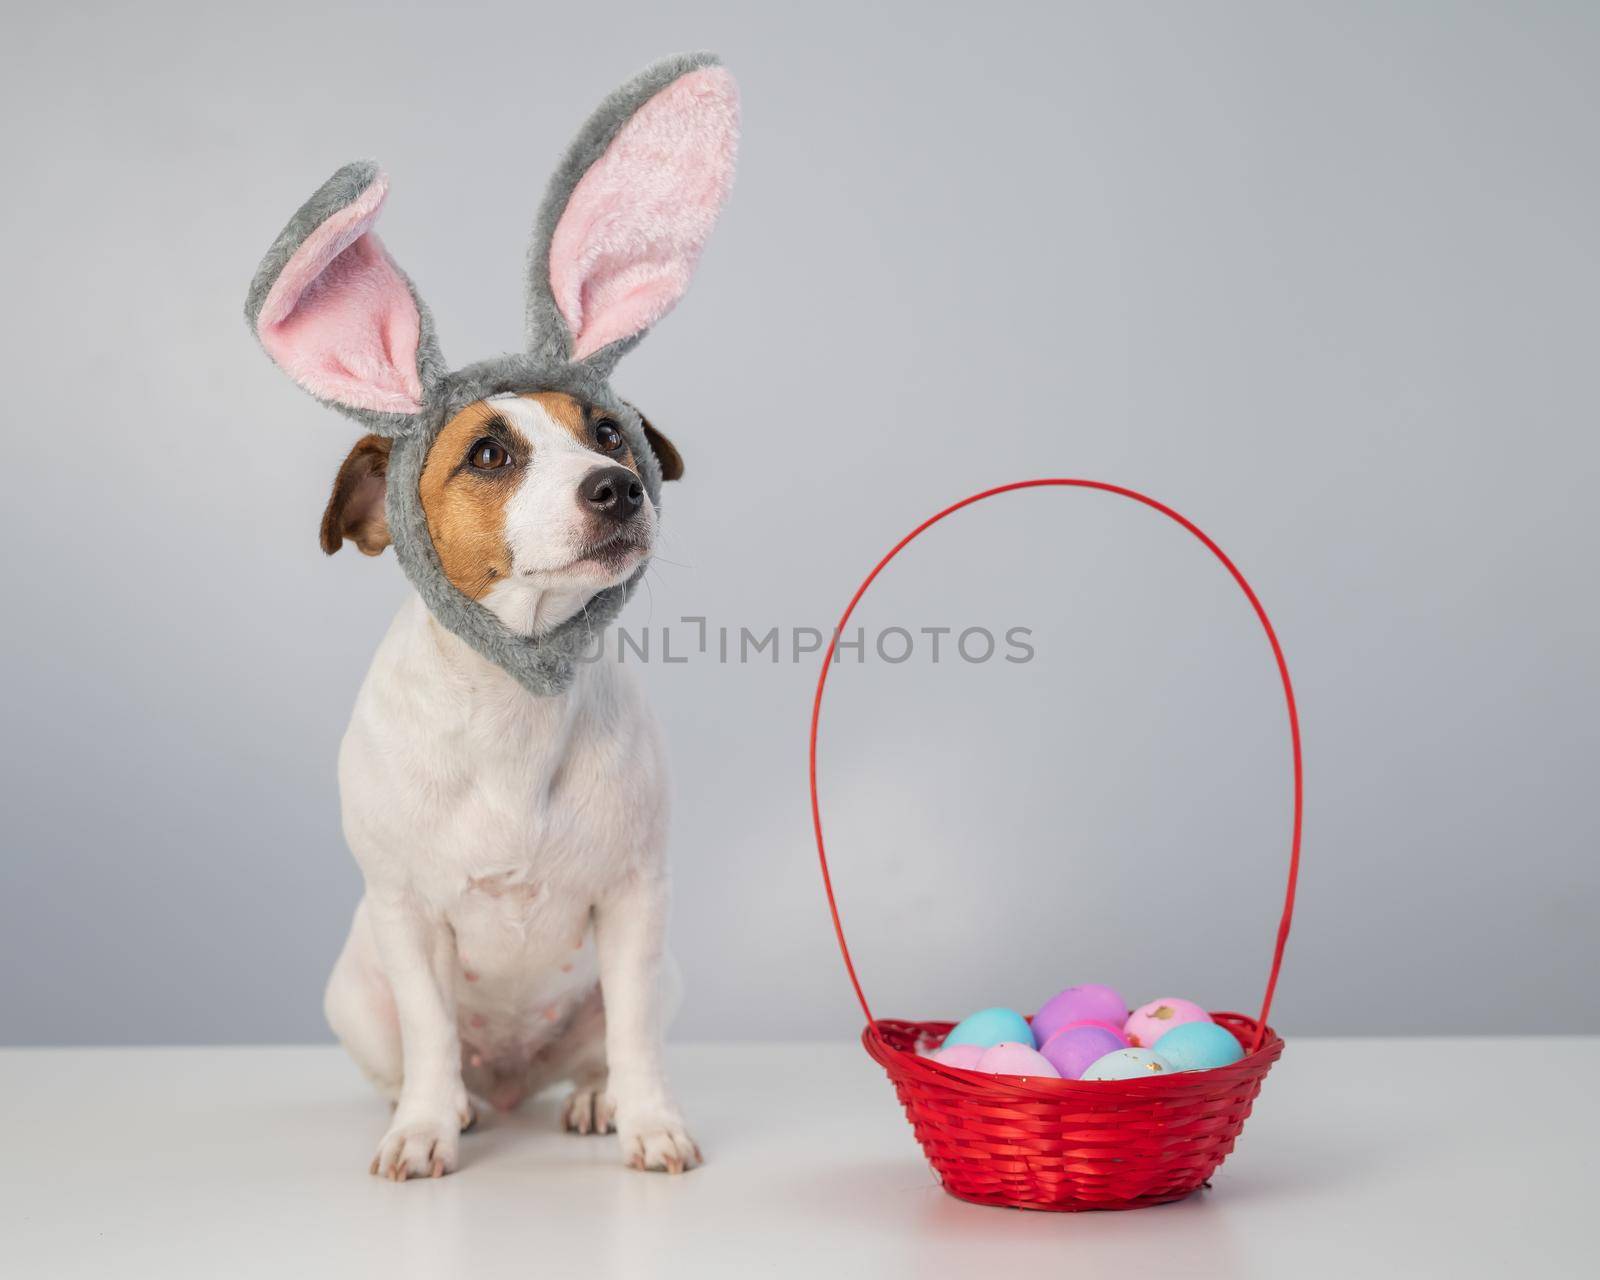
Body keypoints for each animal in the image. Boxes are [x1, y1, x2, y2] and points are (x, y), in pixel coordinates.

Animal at [241, 57, 736, 1177]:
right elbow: (430, 1032)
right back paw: (453, 1105)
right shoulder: (406, 911)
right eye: (489, 453)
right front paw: (424, 1127)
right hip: (354, 989)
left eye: (609, 431)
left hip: (659, 971)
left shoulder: (635, 902)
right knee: (424, 1054)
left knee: (607, 1037)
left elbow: (637, 1035)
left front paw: (648, 1119)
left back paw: (592, 1097)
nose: (616, 487)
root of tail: (515, 1081)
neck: (515, 693)